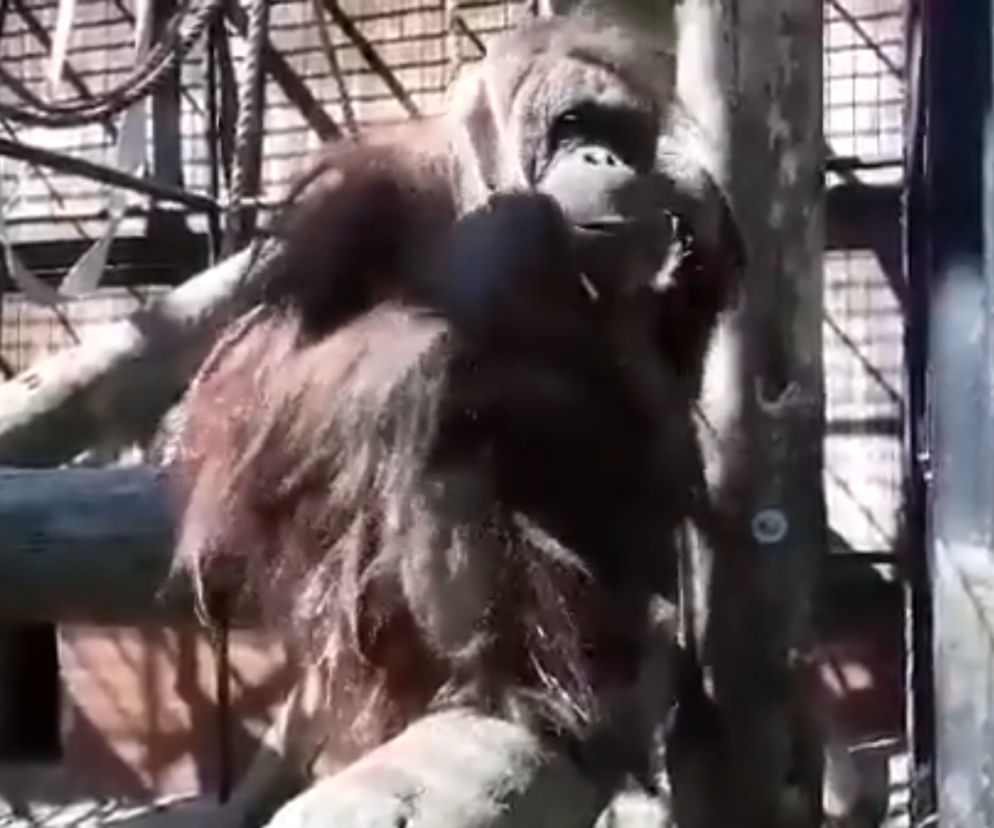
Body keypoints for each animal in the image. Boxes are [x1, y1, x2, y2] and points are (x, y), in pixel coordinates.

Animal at [163, 11, 744, 826]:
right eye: (574, 126)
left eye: (620, 136)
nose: (602, 157)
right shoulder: (365, 194)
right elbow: (246, 405)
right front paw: (510, 262)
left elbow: (657, 423)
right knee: (442, 434)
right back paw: (510, 683)